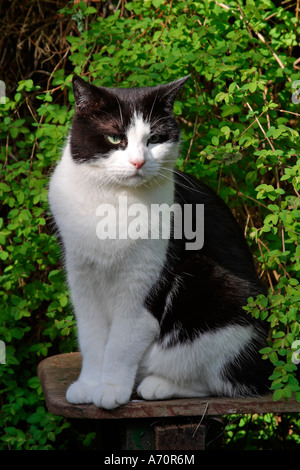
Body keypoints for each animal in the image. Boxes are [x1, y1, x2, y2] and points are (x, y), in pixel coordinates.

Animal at [48, 75, 272, 410]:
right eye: (115, 138)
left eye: (154, 139)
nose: (138, 162)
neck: (115, 199)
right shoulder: (81, 277)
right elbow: (91, 337)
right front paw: (88, 385)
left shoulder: (142, 283)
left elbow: (122, 341)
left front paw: (110, 388)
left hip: (226, 305)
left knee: (225, 382)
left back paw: (157, 385)